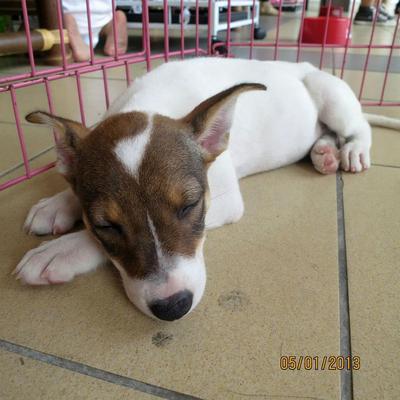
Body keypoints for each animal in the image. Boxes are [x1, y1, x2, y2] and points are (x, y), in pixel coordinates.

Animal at [14, 57, 392, 322]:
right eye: (107, 224)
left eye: (189, 205)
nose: (173, 306)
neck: (154, 101)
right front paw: (57, 205)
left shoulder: (224, 200)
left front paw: (61, 251)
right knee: (326, 133)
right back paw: (324, 152)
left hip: (332, 97)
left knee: (357, 126)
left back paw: (352, 150)